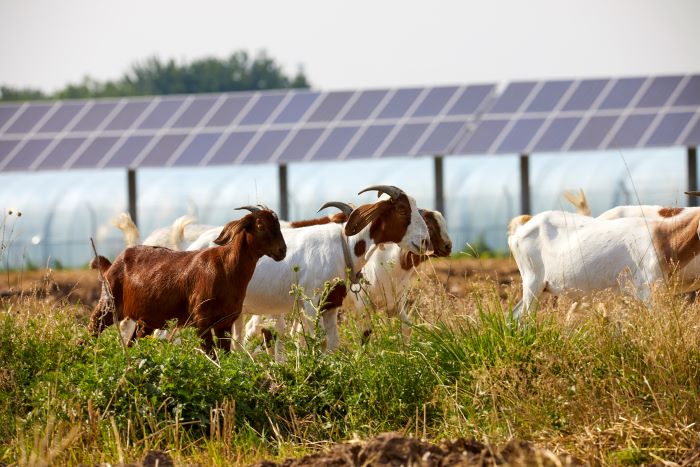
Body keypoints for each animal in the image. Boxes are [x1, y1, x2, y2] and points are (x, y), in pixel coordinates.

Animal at [90, 207, 288, 352]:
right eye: (260, 225)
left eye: (277, 225)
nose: (282, 250)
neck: (226, 268)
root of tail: (116, 261)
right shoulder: (202, 321)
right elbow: (211, 354)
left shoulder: (224, 323)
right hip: (108, 304)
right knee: (92, 329)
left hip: (146, 321)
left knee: (133, 342)